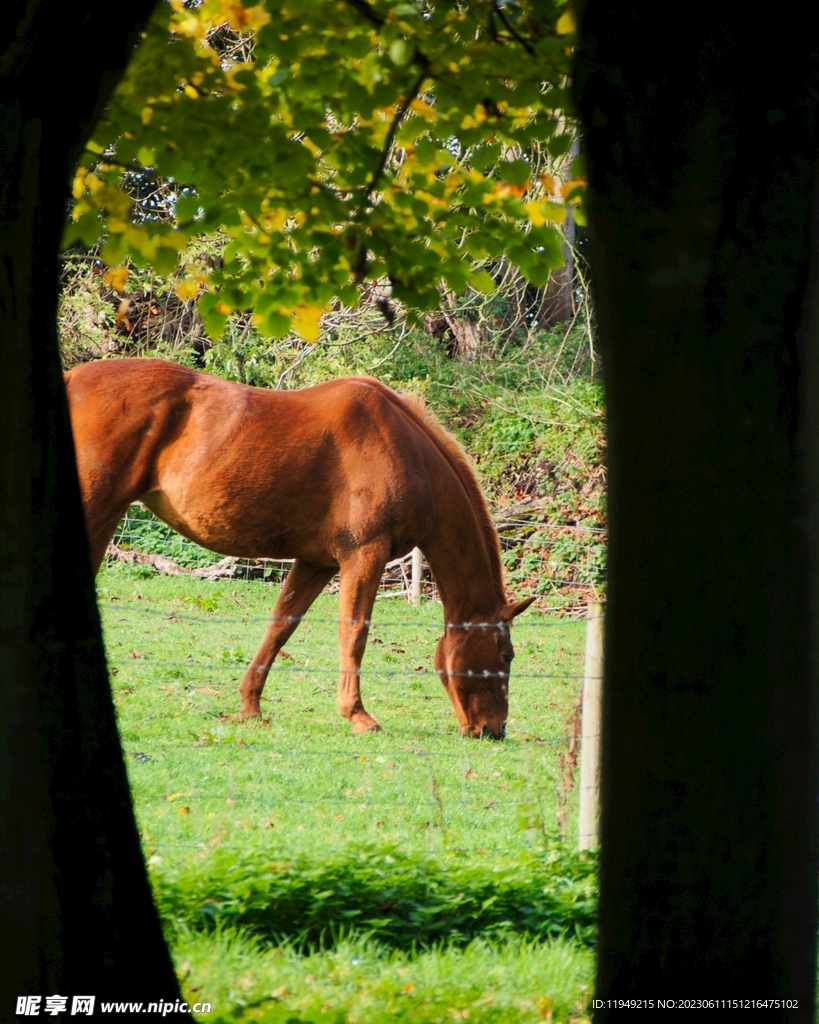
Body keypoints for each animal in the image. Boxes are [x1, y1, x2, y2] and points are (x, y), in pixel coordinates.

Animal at [67, 358, 532, 737]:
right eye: (506, 655)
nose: (494, 730)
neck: (405, 451)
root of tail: (73, 379)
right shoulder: (364, 555)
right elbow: (354, 633)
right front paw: (357, 714)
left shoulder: (316, 562)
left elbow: (281, 626)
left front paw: (250, 706)